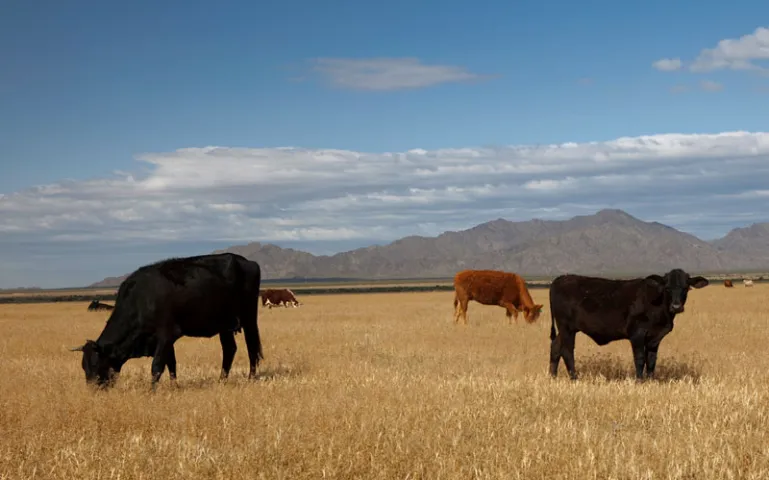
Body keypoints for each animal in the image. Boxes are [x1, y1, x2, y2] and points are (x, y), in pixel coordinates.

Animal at [68, 253, 264, 390]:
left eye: (95, 363)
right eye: (83, 366)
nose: (93, 389)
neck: (142, 299)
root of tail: (248, 262)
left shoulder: (166, 335)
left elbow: (157, 366)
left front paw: (152, 391)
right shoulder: (164, 341)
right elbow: (171, 364)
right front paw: (174, 386)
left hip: (248, 318)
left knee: (251, 347)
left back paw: (251, 377)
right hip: (224, 325)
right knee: (229, 349)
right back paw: (221, 380)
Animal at [548, 268, 708, 381]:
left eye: (686, 288)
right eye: (667, 288)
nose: (676, 306)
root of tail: (560, 279)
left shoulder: (655, 337)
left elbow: (651, 360)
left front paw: (651, 380)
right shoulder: (637, 334)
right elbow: (640, 358)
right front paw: (639, 381)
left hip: (566, 329)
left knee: (555, 347)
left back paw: (552, 377)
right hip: (566, 328)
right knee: (567, 351)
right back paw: (574, 378)